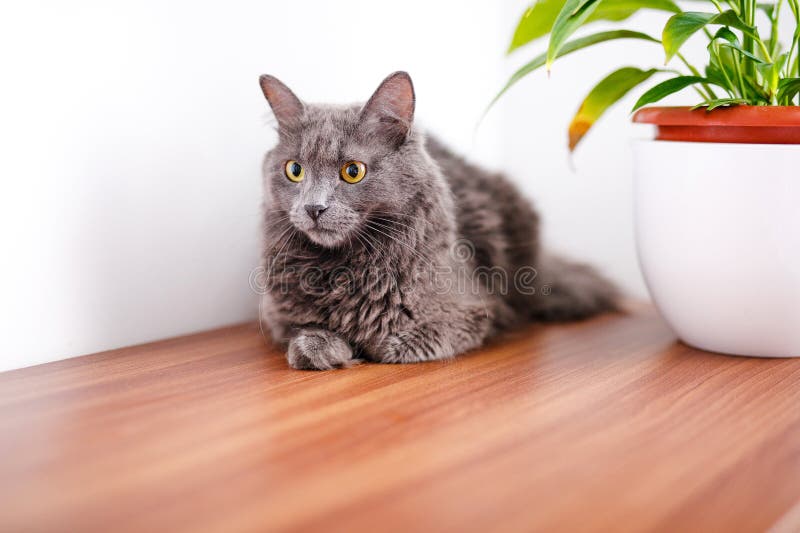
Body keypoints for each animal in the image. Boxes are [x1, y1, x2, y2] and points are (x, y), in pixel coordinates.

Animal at [258, 70, 620, 370]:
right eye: (295, 170)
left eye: (353, 171)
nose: (313, 208)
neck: (344, 268)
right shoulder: (279, 317)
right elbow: (305, 338)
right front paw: (326, 347)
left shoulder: (472, 311)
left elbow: (398, 344)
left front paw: (367, 346)